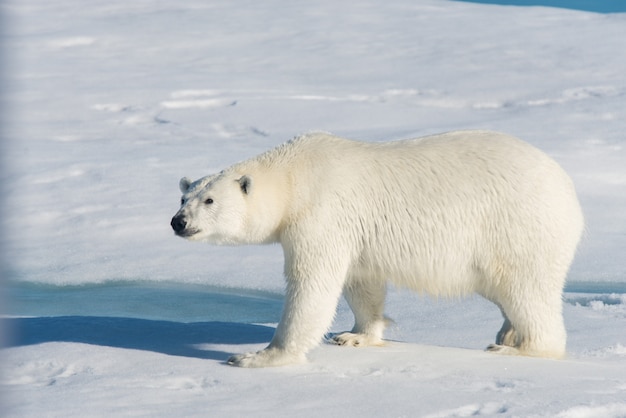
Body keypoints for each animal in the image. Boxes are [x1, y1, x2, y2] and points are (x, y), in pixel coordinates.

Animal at [169, 130, 580, 366]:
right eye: (183, 196)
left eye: (209, 200)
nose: (178, 222)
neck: (294, 175)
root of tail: (568, 190)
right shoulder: (354, 232)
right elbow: (361, 280)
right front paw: (355, 335)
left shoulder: (321, 214)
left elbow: (312, 285)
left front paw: (258, 355)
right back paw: (506, 334)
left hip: (517, 226)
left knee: (526, 288)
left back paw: (519, 347)